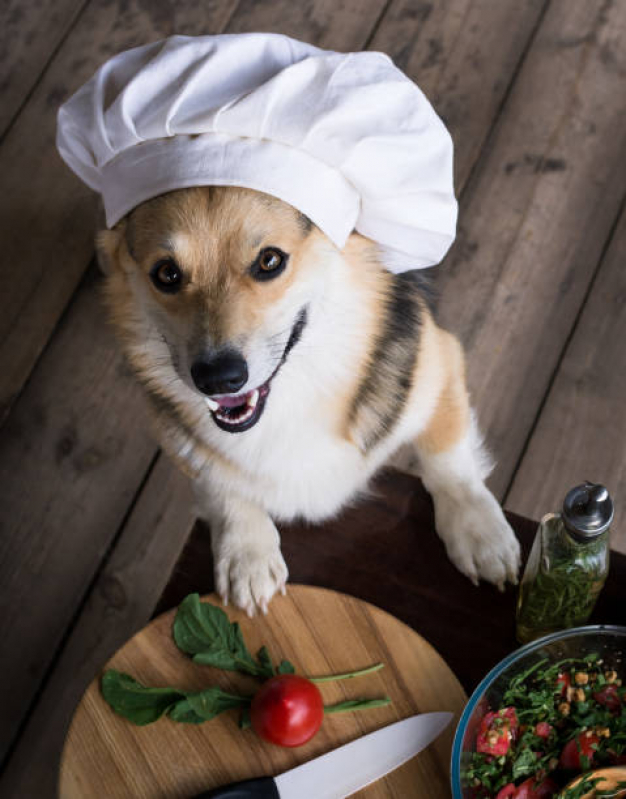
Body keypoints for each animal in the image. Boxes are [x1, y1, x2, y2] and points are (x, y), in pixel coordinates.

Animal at [96, 184, 516, 616]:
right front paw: (246, 553)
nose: (216, 378)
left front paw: (478, 531)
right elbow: (218, 479)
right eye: (167, 274)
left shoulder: (437, 363)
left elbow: (448, 460)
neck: (297, 392)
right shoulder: (176, 436)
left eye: (269, 260)